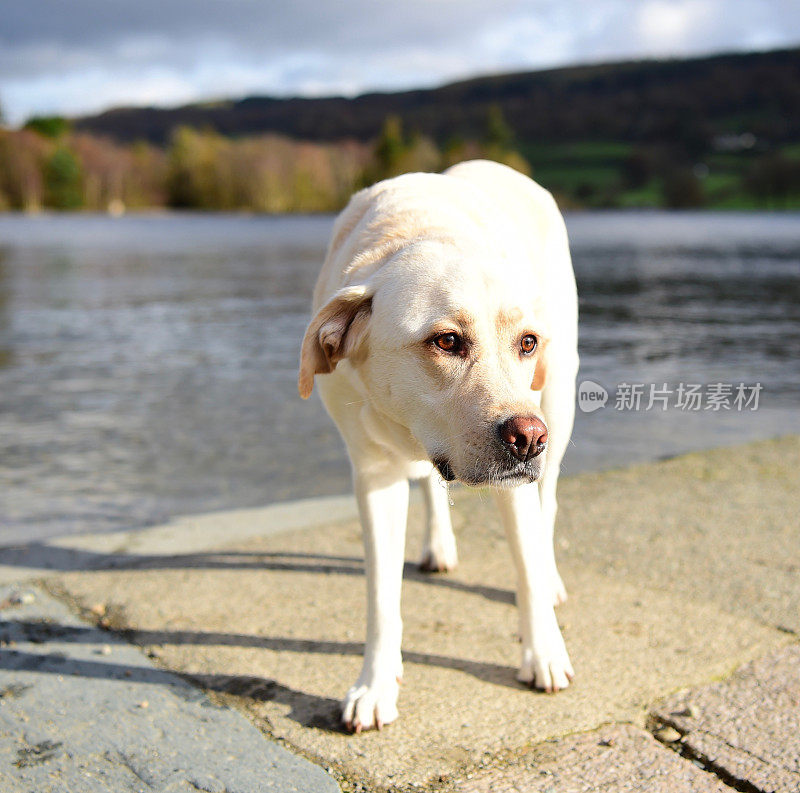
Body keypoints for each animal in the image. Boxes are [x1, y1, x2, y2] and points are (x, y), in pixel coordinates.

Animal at [296, 159, 580, 732]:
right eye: (447, 340)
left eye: (527, 342)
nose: (527, 438)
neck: (418, 231)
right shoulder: (374, 473)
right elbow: (382, 595)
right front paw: (375, 685)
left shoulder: (517, 478)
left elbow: (526, 567)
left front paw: (544, 652)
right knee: (429, 482)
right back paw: (439, 547)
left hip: (559, 404)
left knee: (549, 504)